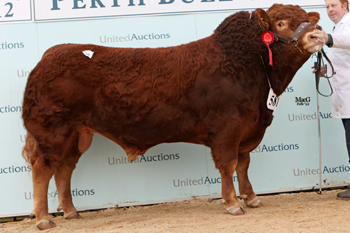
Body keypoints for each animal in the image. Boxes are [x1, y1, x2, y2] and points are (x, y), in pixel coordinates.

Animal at [21, 3, 324, 229]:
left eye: (306, 19)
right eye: (281, 23)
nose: (317, 35)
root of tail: (50, 55)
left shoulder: (247, 129)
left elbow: (244, 164)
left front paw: (251, 198)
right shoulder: (226, 127)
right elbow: (228, 165)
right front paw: (233, 204)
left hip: (75, 134)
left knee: (64, 169)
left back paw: (71, 211)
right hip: (52, 131)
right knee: (43, 168)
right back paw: (44, 218)